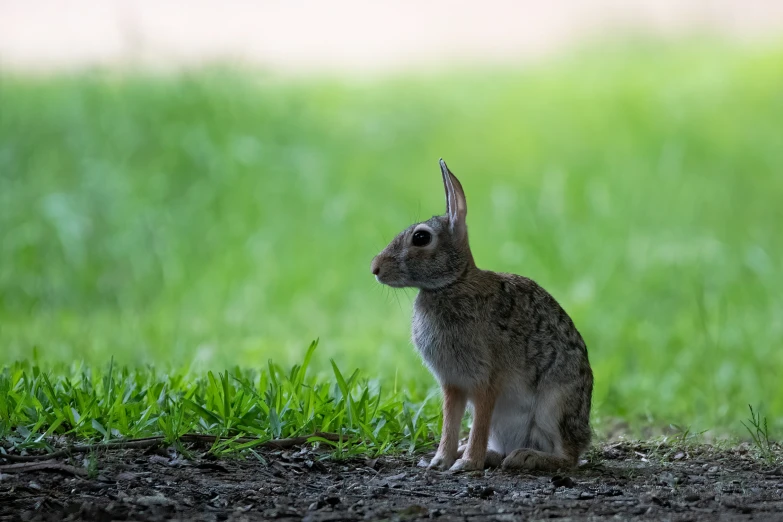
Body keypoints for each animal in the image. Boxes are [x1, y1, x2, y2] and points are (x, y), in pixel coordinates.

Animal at [370, 158, 592, 472]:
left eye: (421, 238)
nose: (375, 268)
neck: (453, 283)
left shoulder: (486, 379)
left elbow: (478, 422)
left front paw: (466, 464)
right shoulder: (452, 384)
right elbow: (450, 423)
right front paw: (440, 461)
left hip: (555, 404)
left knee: (569, 457)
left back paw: (525, 457)